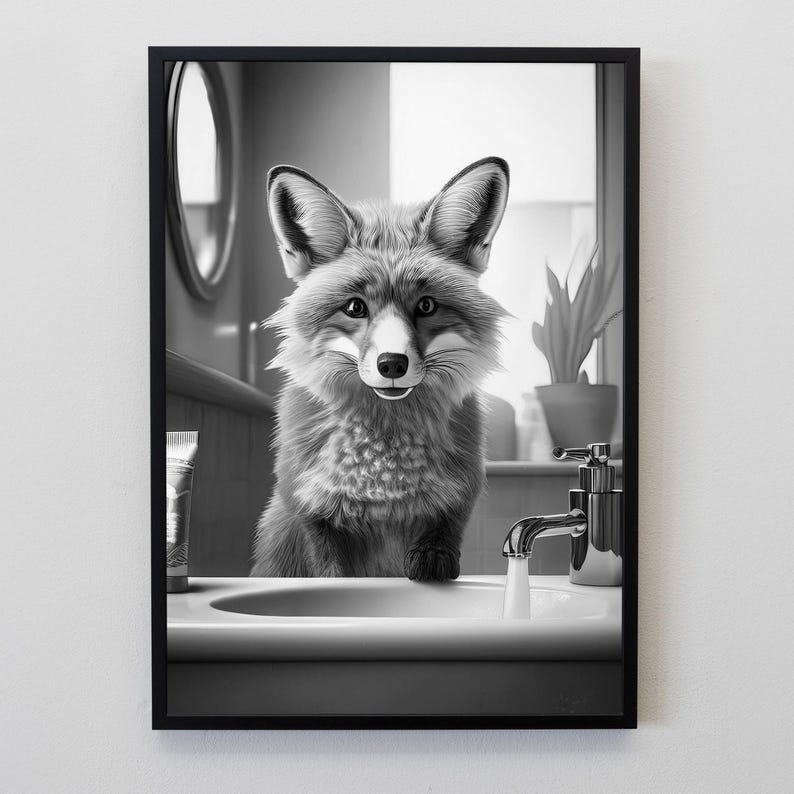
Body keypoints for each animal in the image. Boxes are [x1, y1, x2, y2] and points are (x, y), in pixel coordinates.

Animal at [251, 157, 510, 581]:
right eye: (355, 307)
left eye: (426, 305)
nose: (392, 364)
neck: (384, 481)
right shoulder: (308, 507)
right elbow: (328, 568)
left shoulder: (457, 497)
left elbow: (443, 533)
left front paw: (432, 563)